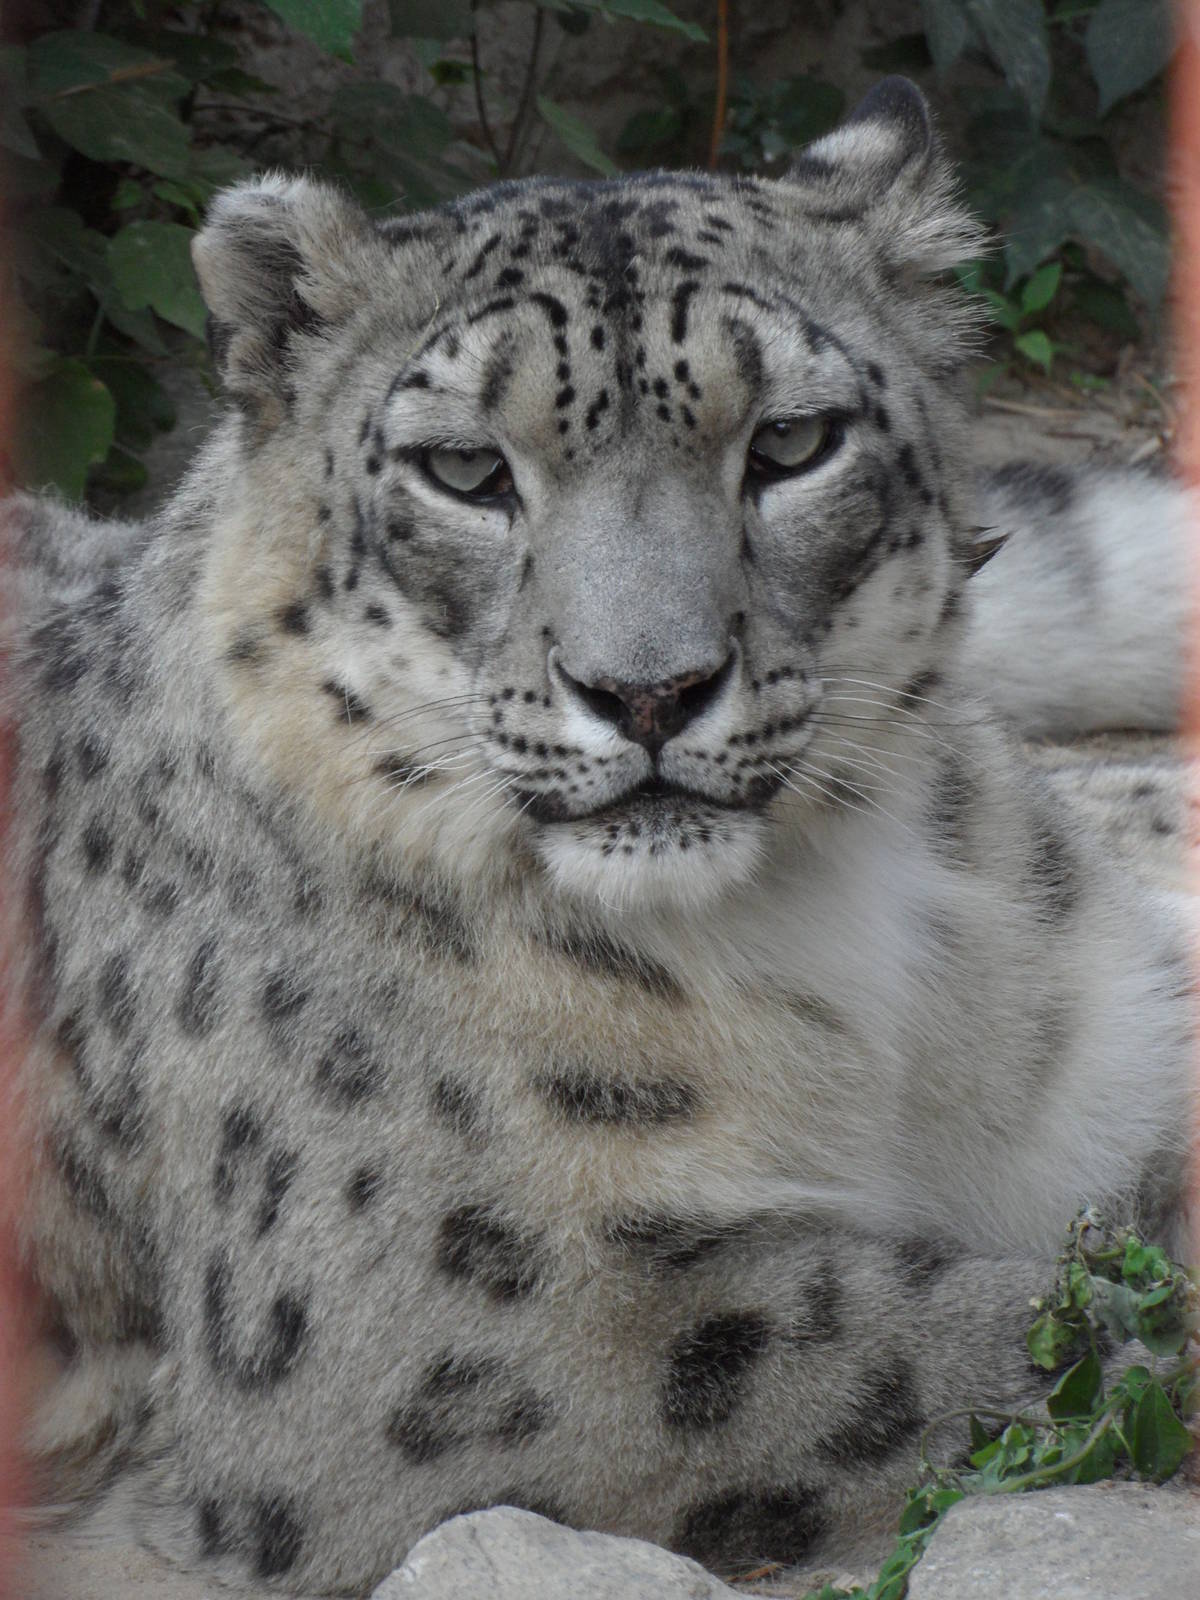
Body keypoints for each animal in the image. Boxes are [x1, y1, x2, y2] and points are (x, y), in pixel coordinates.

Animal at [4, 76, 1195, 1595]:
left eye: (792, 443)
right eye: (465, 469)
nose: (650, 689)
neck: (845, 958)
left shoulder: (1115, 1060)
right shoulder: (466, 1327)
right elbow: (964, 1343)